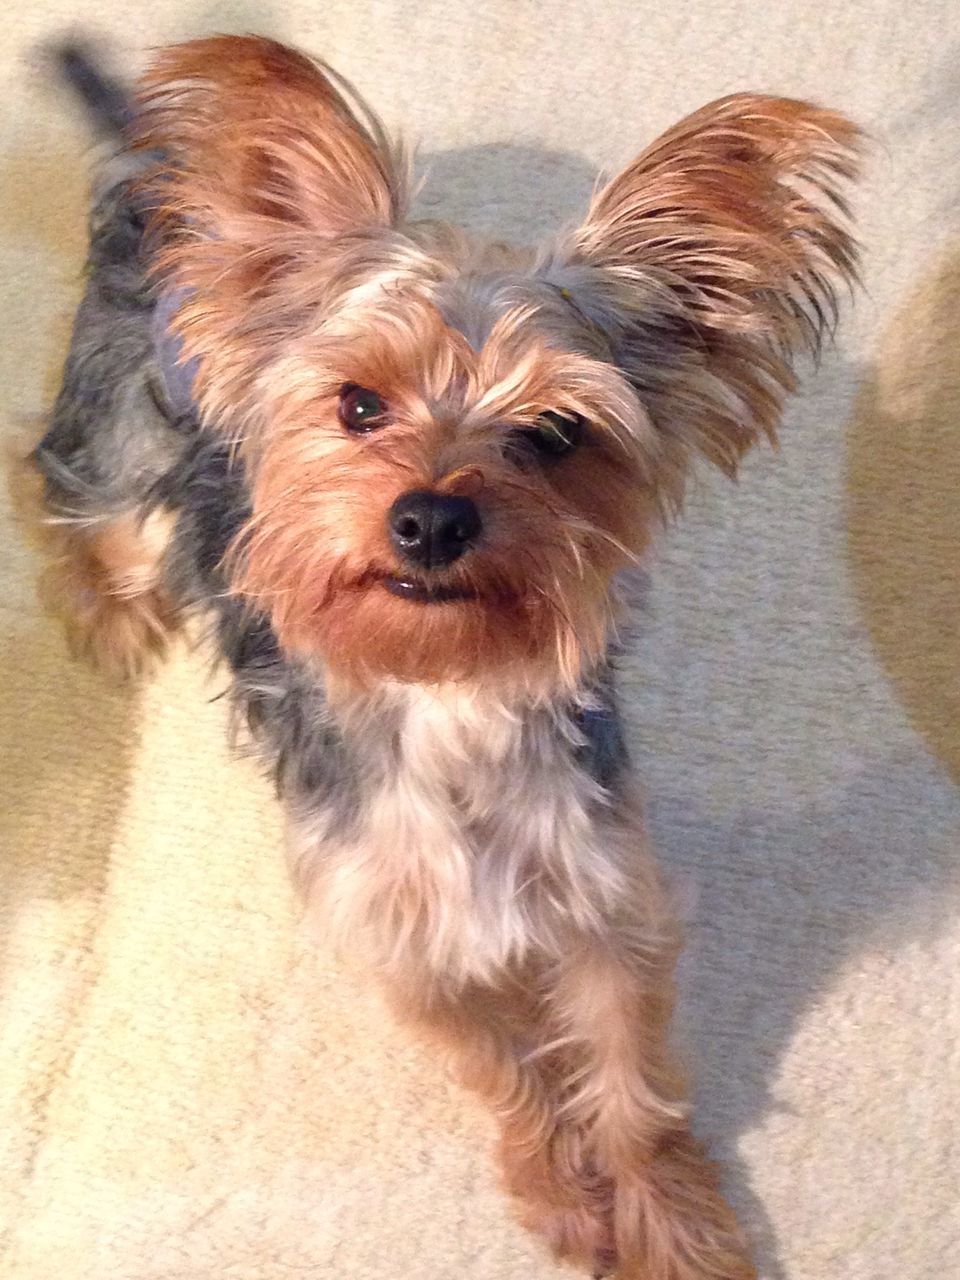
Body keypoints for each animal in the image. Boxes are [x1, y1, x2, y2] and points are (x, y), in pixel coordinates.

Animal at [30, 35, 860, 1274]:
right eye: (358, 404)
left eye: (556, 434)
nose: (430, 517)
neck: (447, 684)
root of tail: (151, 166)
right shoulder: (401, 936)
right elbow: (505, 1068)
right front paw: (561, 1187)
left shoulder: (606, 892)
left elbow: (630, 1077)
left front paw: (670, 1218)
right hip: (124, 429)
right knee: (75, 491)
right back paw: (110, 607)